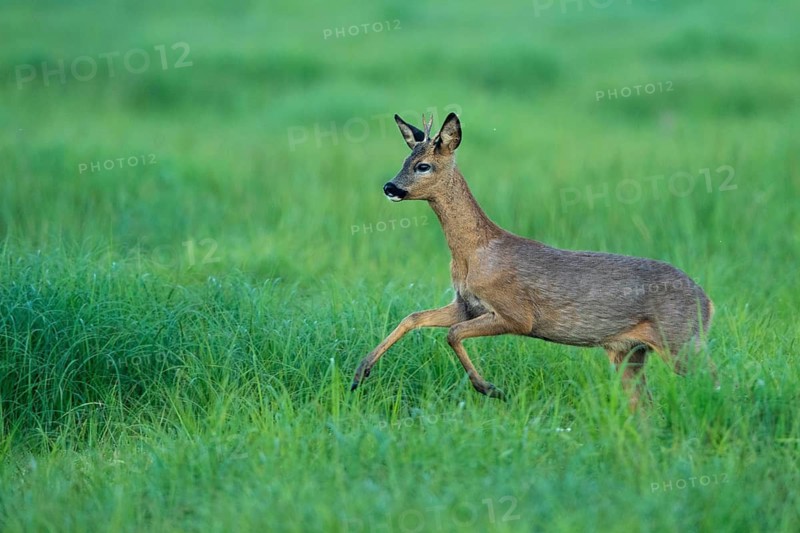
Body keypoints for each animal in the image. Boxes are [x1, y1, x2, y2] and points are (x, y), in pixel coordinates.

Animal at [350, 112, 717, 410]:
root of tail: (707, 301)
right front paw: (360, 372)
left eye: (424, 165)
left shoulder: (517, 315)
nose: (390, 187)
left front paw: (490, 388)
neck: (476, 252)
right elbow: (414, 317)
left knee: (712, 379)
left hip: (681, 339)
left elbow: (452, 334)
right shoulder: (467, 305)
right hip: (630, 351)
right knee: (645, 402)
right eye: (405, 159)